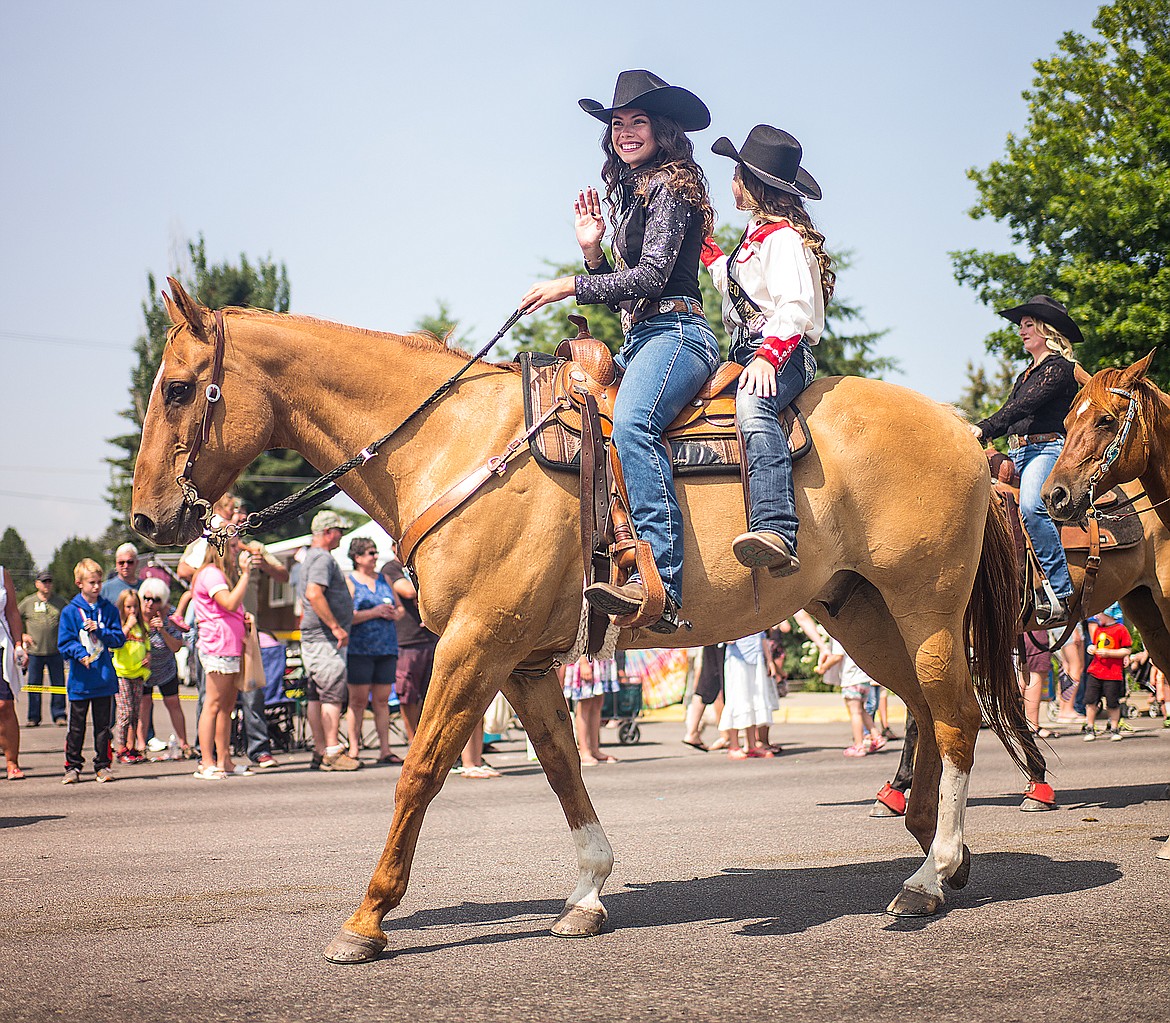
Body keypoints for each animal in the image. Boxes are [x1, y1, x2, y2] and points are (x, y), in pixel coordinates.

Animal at [134, 278, 1034, 955]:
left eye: (178, 388)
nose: (147, 519)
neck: (452, 442)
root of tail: (967, 434)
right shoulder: (524, 661)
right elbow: (564, 767)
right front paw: (588, 892)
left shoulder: (473, 645)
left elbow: (420, 770)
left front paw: (367, 917)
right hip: (861, 613)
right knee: (926, 711)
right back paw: (940, 856)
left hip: (923, 608)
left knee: (956, 717)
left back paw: (929, 875)